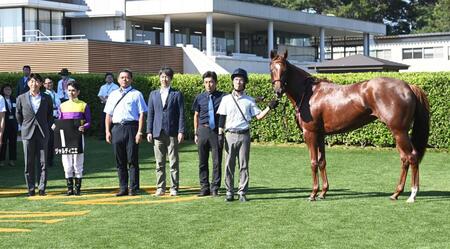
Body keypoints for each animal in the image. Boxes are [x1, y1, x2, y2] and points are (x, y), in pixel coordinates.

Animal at [268, 50, 430, 202]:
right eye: (271, 68)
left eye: (285, 69)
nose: (278, 90)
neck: (309, 94)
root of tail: (408, 86)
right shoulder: (320, 135)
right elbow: (322, 162)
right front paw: (323, 192)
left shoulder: (310, 134)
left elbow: (313, 163)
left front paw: (313, 194)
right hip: (398, 134)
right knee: (404, 159)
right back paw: (396, 193)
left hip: (399, 132)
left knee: (412, 157)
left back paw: (412, 195)